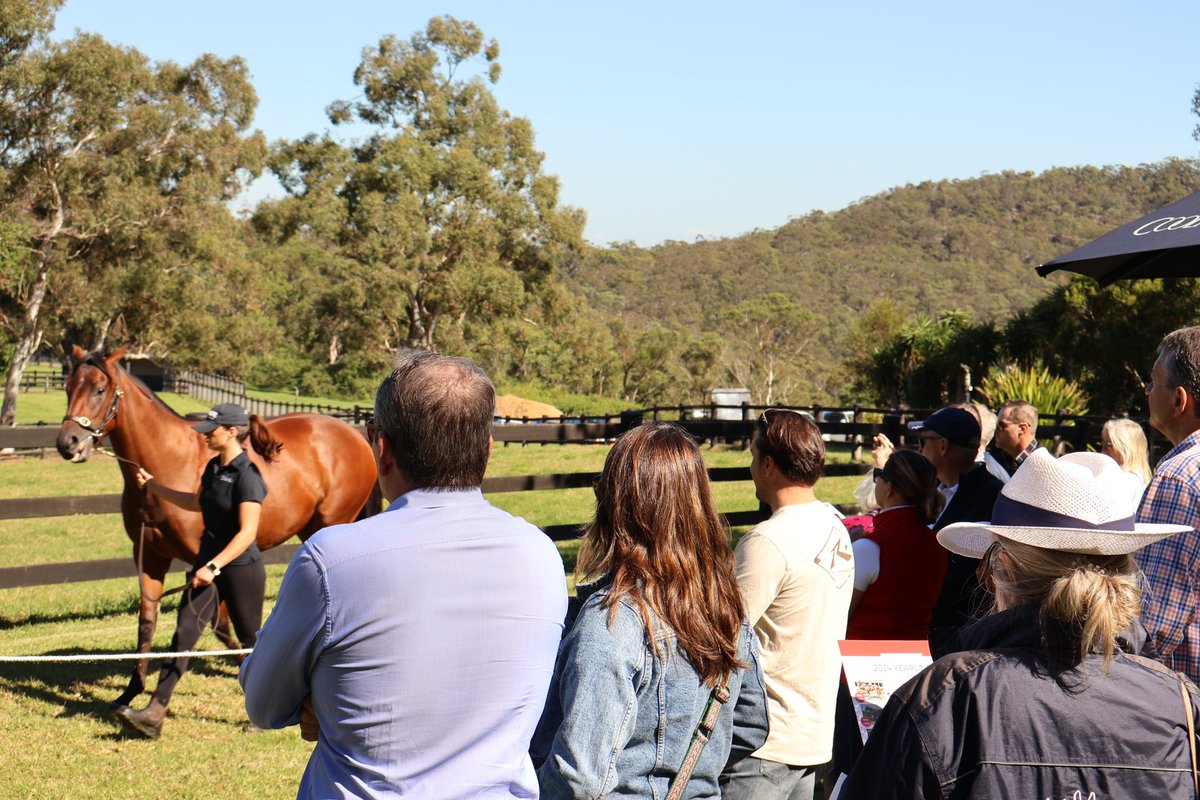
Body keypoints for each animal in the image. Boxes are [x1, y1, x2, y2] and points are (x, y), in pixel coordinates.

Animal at [52, 347, 374, 710]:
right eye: (68, 387)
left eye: (99, 389)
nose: (68, 443)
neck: (169, 460)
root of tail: (353, 434)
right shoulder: (150, 557)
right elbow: (148, 621)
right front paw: (131, 692)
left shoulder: (203, 563)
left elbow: (217, 622)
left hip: (332, 525)